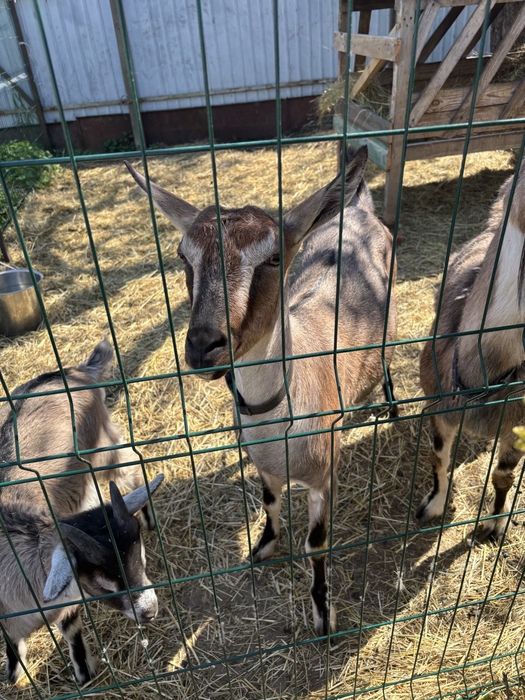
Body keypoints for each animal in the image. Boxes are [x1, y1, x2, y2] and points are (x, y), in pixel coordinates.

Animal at [0, 474, 163, 685]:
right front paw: (15, 672)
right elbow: (10, 637)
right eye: (102, 583)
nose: (150, 611)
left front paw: (84, 671)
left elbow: (72, 630)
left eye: (142, 559)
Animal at [126, 146, 397, 635]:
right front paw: (263, 548)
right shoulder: (264, 468)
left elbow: (316, 543)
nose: (203, 345)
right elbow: (269, 503)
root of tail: (359, 208)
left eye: (272, 258)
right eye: (182, 255)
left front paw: (323, 614)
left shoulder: (323, 478)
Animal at [417, 160, 525, 542]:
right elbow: (438, 457)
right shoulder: (437, 403)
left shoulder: (518, 425)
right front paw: (432, 507)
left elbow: (504, 476)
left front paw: (496, 524)